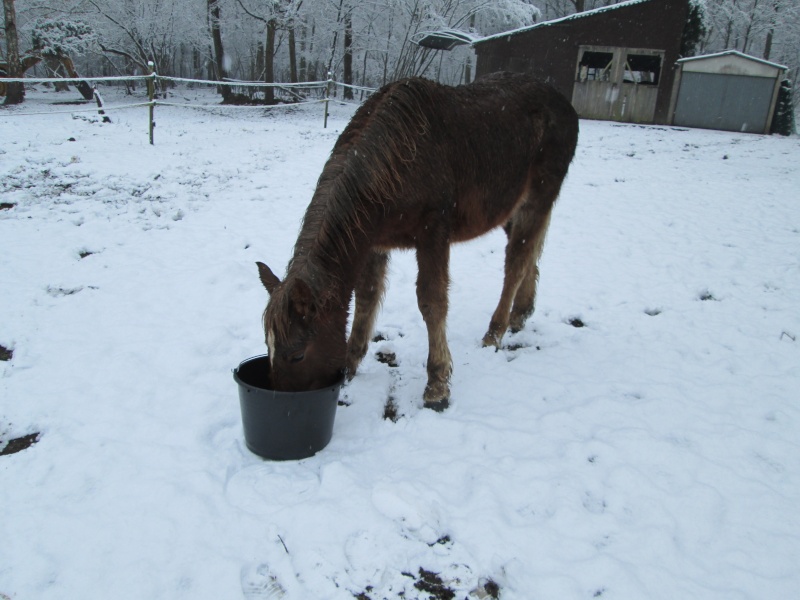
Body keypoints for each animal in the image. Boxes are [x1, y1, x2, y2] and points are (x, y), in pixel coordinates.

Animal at [260, 69, 580, 408]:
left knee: (517, 263)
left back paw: (495, 332)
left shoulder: (433, 233)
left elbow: (432, 301)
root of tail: (561, 101)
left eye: (297, 355)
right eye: (268, 347)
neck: (394, 162)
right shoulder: (372, 243)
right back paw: (520, 314)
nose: (282, 406)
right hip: (510, 208)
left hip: (538, 198)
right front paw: (350, 363)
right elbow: (367, 297)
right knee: (530, 255)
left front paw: (437, 384)